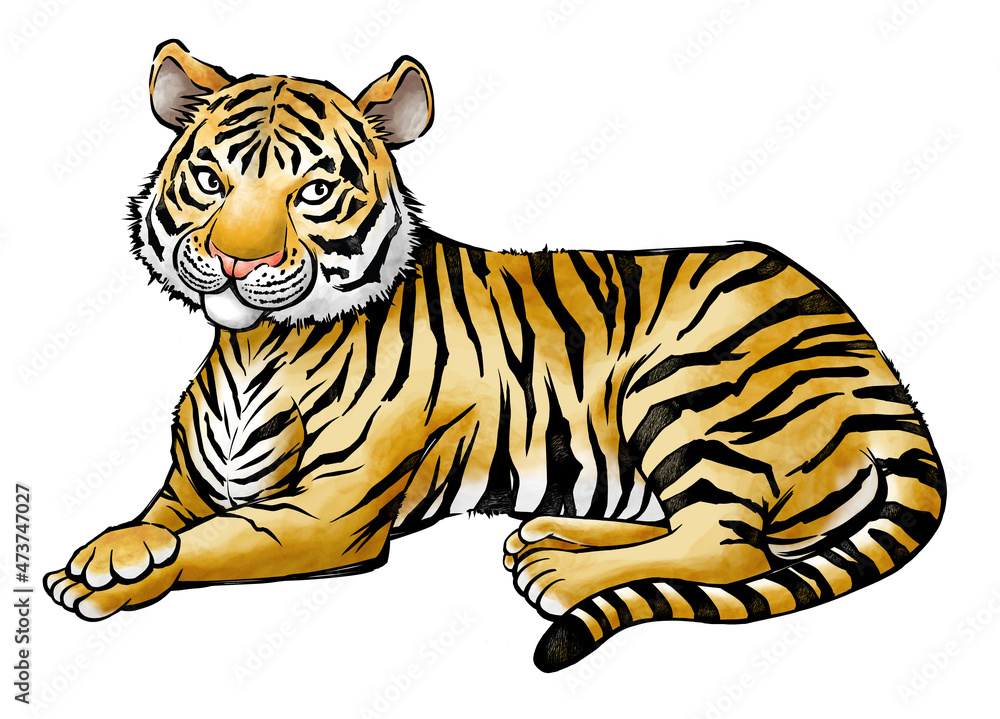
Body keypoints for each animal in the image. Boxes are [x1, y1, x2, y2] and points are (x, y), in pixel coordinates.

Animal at [45, 40, 946, 673]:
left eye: (314, 191)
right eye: (211, 179)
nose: (236, 261)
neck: (253, 345)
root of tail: (874, 359)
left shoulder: (326, 517)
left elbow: (207, 544)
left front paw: (101, 574)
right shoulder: (191, 484)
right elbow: (163, 519)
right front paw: (107, 552)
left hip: (688, 386)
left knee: (729, 542)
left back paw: (558, 573)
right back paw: (547, 535)